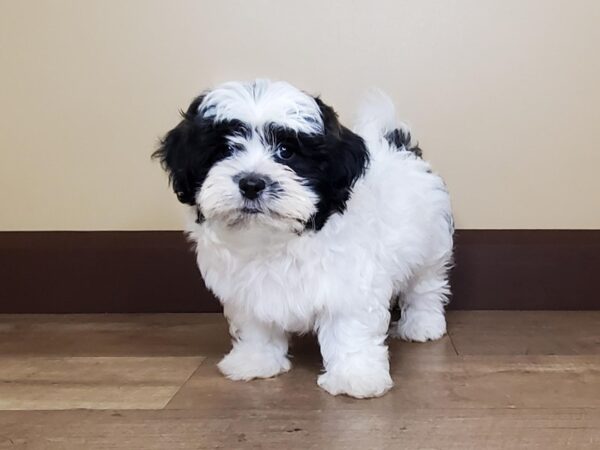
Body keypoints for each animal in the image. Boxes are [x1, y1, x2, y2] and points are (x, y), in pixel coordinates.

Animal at [152, 80, 452, 398]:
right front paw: (255, 362)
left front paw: (355, 377)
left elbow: (350, 329)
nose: (251, 183)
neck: (275, 238)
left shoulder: (349, 284)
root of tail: (396, 143)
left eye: (286, 151)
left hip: (431, 243)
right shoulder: (247, 290)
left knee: (425, 286)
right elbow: (255, 325)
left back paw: (423, 325)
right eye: (225, 149)